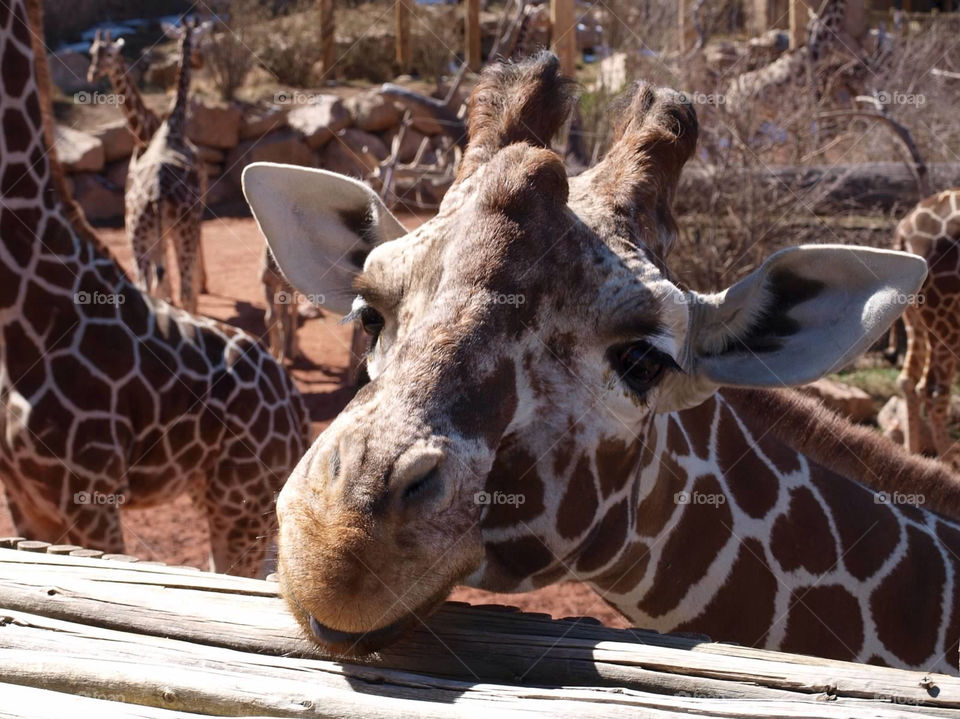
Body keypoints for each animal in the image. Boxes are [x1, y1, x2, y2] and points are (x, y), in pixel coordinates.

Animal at [125, 19, 208, 314]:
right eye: (199, 41)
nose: (200, 61)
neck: (173, 127)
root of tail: (157, 198)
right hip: (180, 232)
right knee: (184, 292)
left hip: (138, 239)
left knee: (145, 288)